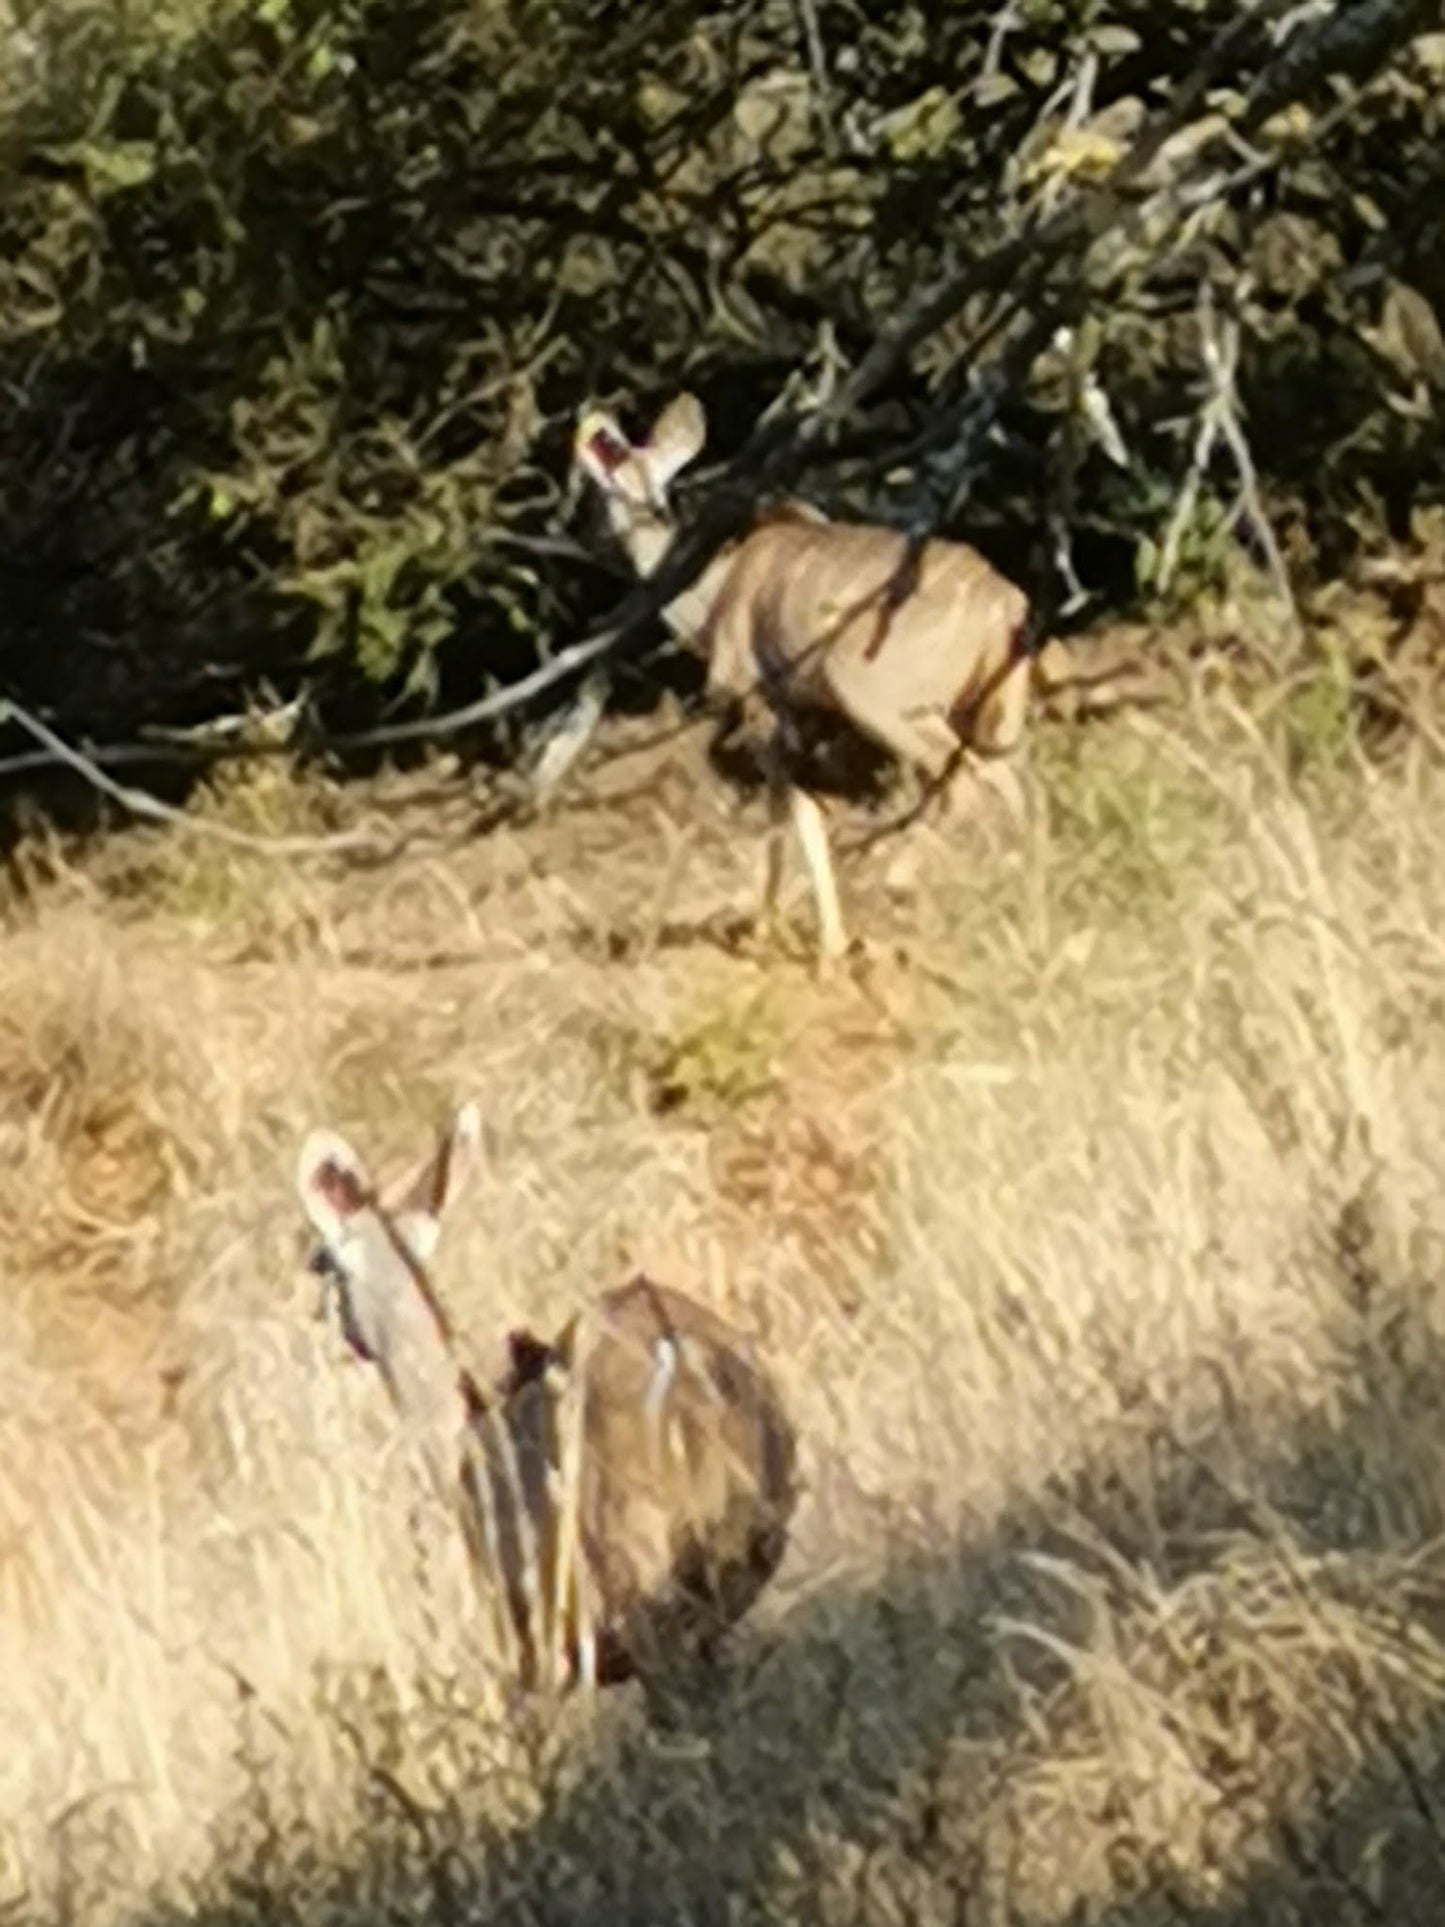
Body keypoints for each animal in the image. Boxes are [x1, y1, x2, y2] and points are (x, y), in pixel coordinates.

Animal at [290, 1109, 797, 1695]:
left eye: (321, 1261)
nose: (319, 1316)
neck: (464, 1442)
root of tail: (691, 1368)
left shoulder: (536, 1655)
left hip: (643, 1587)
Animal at [574, 393, 1040, 971]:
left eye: (608, 487)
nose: (594, 535)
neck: (712, 596)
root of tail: (1006, 608)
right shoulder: (803, 713)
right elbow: (802, 809)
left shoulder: (760, 703)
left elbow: (796, 813)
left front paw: (798, 941)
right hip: (992, 713)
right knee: (1016, 783)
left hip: (884, 702)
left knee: (968, 785)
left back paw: (902, 881)